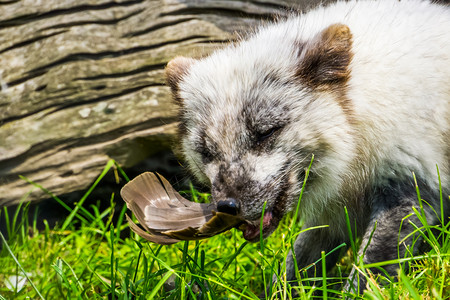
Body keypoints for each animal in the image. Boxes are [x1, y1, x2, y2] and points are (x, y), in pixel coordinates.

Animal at [165, 0, 450, 290]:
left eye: (265, 132)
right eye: (206, 151)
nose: (227, 206)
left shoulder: (409, 191)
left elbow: (366, 276)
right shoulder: (334, 214)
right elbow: (296, 267)